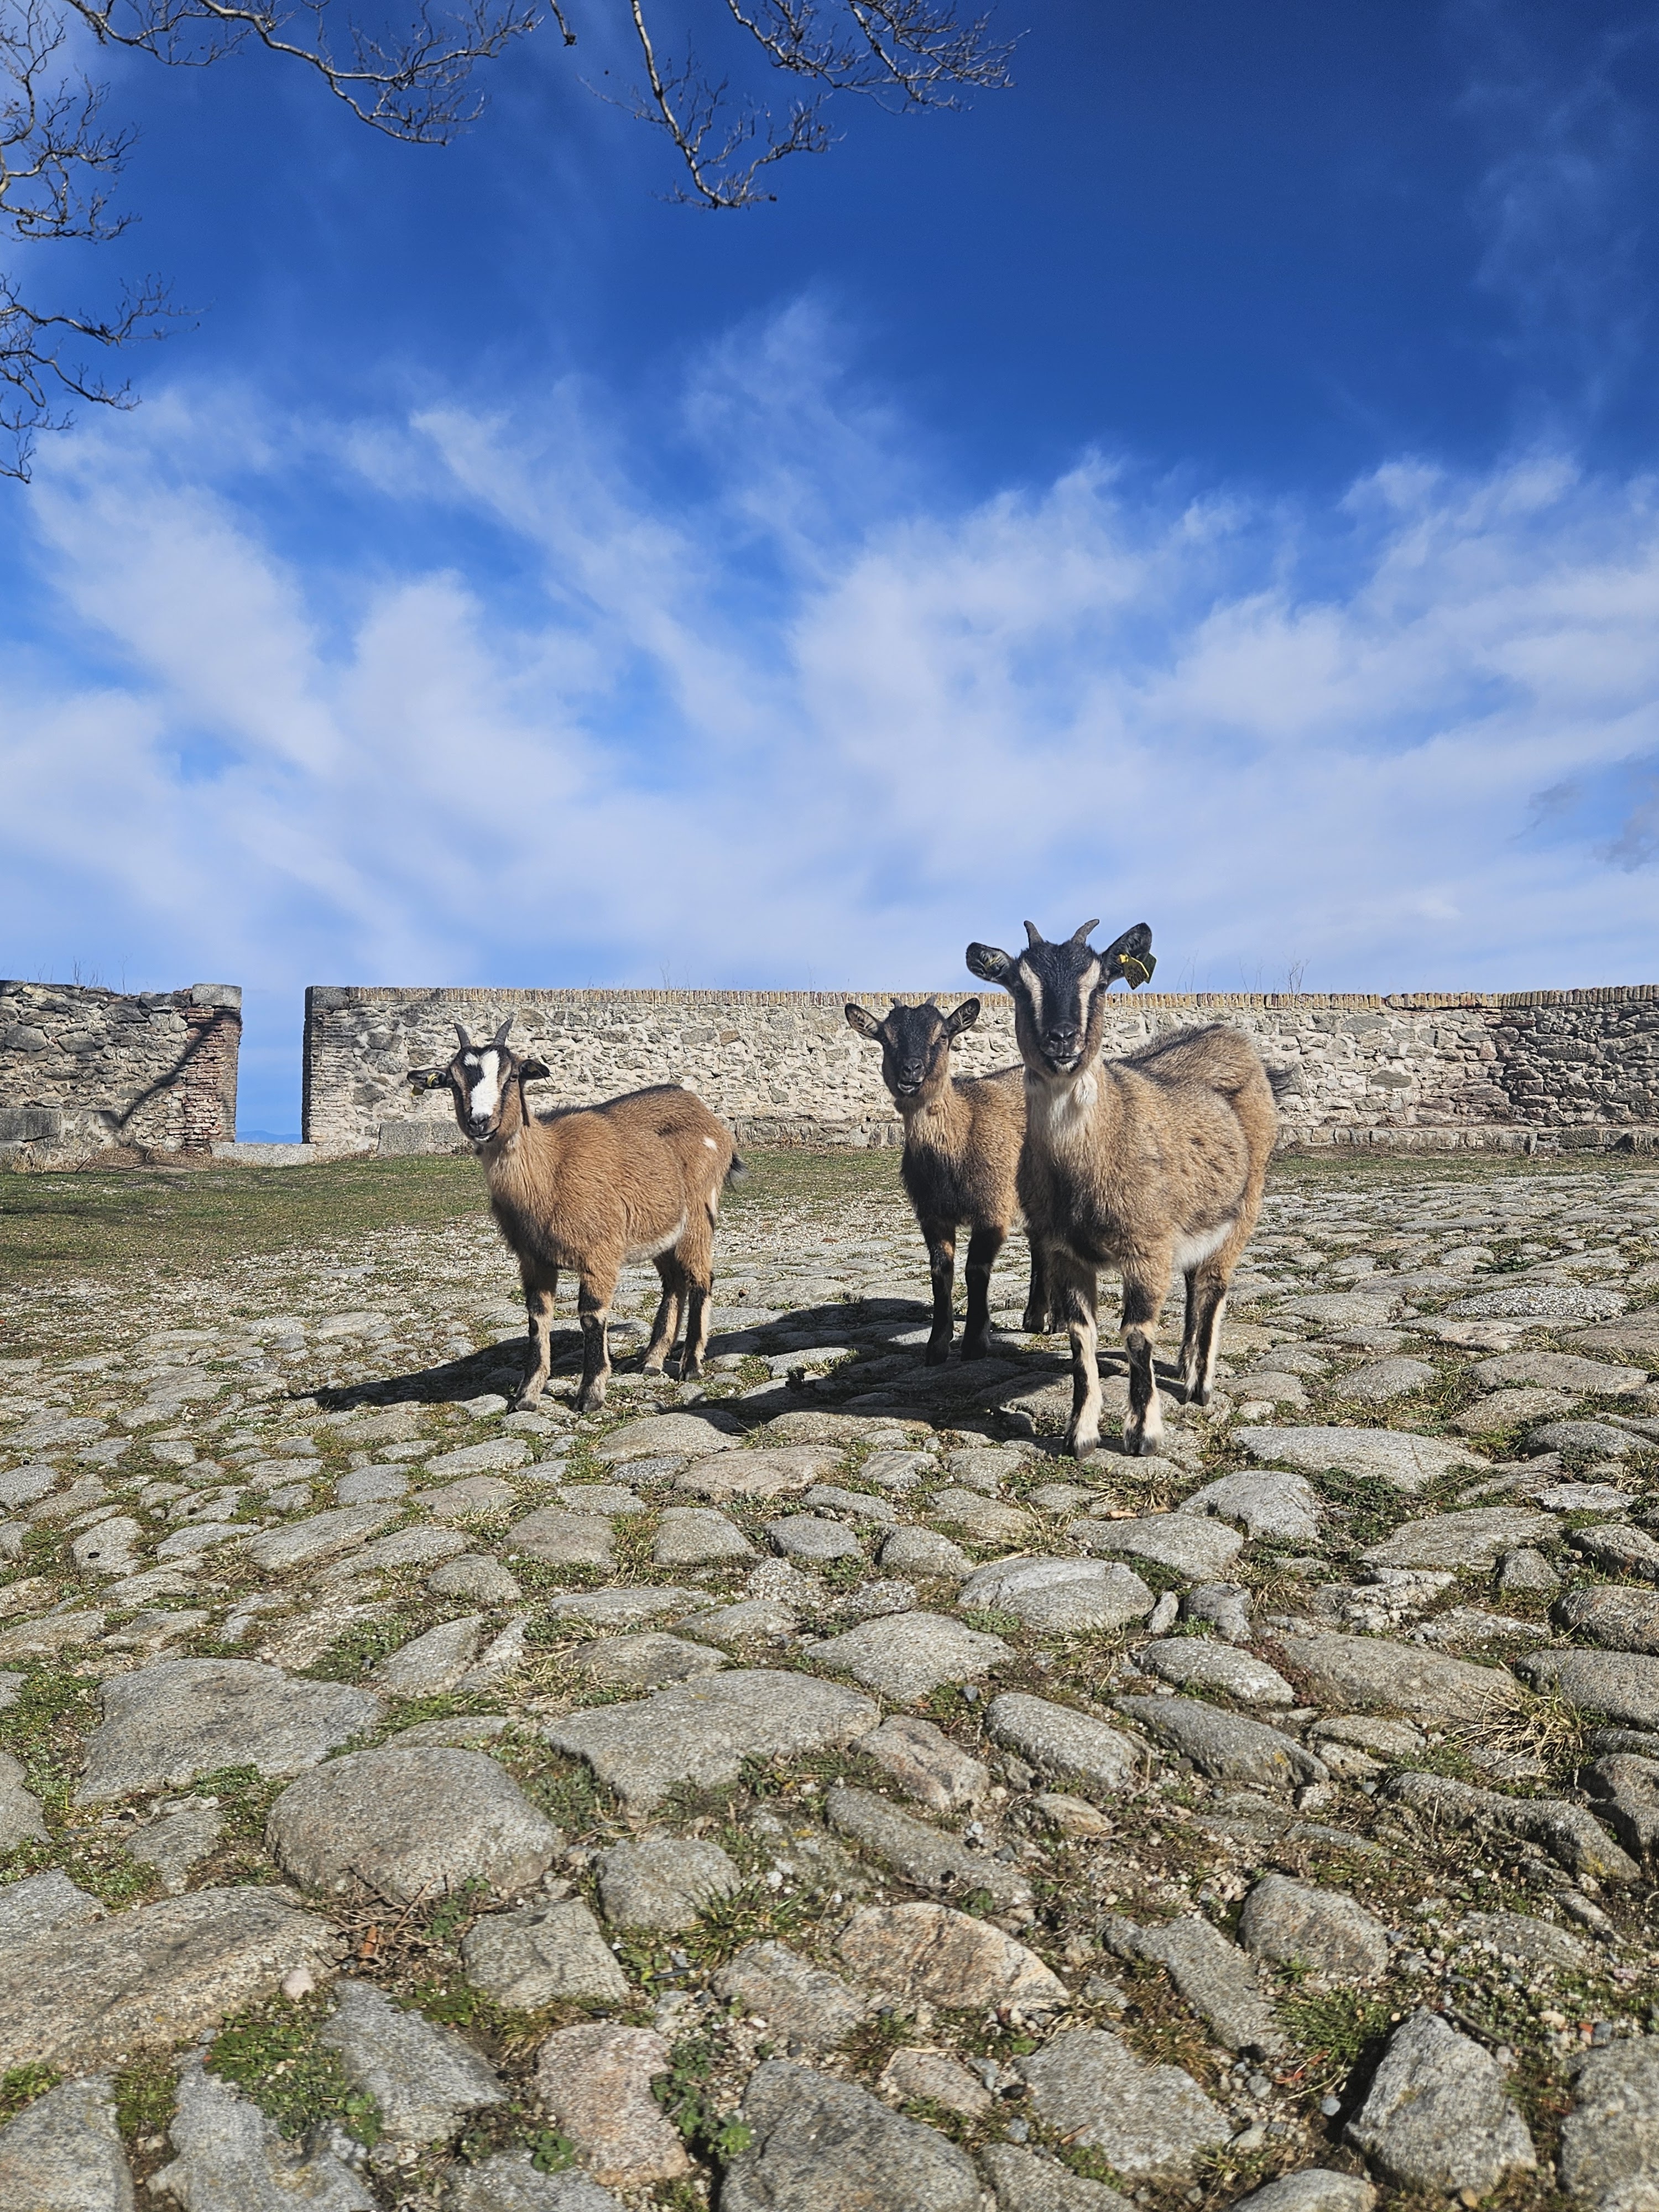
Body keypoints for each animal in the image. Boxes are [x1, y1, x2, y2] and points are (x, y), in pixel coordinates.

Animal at [409, 1019, 740, 1413]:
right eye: (452, 1081)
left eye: (513, 1076)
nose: (480, 1121)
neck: (551, 1170)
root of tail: (712, 1122)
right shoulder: (533, 1259)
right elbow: (537, 1319)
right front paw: (526, 1396)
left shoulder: (601, 1253)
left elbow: (591, 1317)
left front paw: (590, 1395)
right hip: (662, 1229)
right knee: (674, 1282)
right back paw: (651, 1361)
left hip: (699, 1216)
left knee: (700, 1279)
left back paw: (690, 1365)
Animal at [846, 996, 1045, 1362]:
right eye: (885, 1039)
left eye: (942, 1035)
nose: (911, 1071)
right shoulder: (932, 1214)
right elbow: (941, 1272)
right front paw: (937, 1346)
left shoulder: (993, 1207)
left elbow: (975, 1270)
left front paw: (975, 1343)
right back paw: (1035, 1318)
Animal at [965, 920, 1274, 1460]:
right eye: (1018, 985)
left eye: (1100, 983)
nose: (1062, 1038)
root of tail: (1229, 1034)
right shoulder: (1064, 1251)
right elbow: (1080, 1336)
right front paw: (1080, 1434)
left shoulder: (1147, 1247)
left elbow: (1135, 1335)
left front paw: (1143, 1434)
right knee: (1194, 1283)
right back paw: (1183, 1363)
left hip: (1244, 1205)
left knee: (1214, 1285)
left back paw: (1200, 1385)